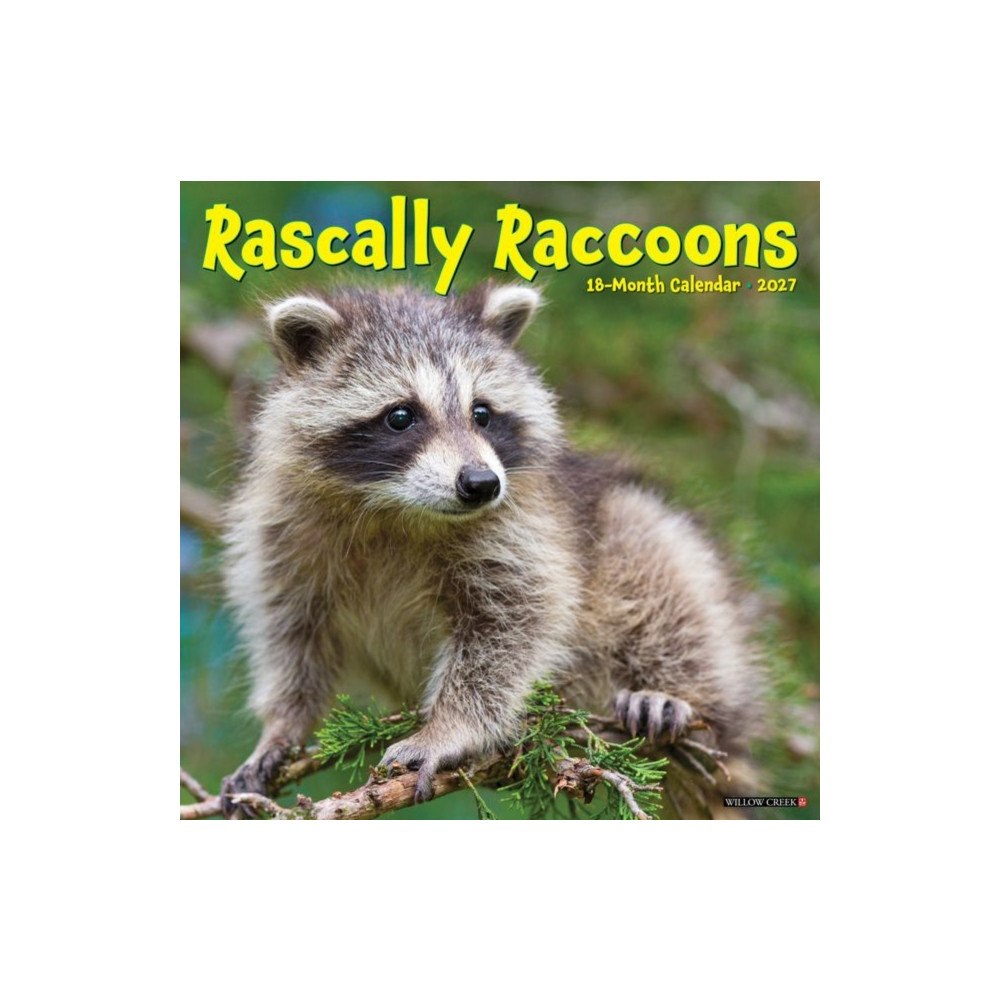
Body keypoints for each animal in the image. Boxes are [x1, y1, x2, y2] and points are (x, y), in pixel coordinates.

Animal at [221, 282, 764, 816]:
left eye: (481, 413)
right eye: (401, 416)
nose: (481, 484)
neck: (396, 509)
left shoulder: (525, 527)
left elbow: (515, 624)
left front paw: (448, 728)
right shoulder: (285, 532)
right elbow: (292, 636)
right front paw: (282, 726)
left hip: (647, 547)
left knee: (662, 570)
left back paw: (678, 694)